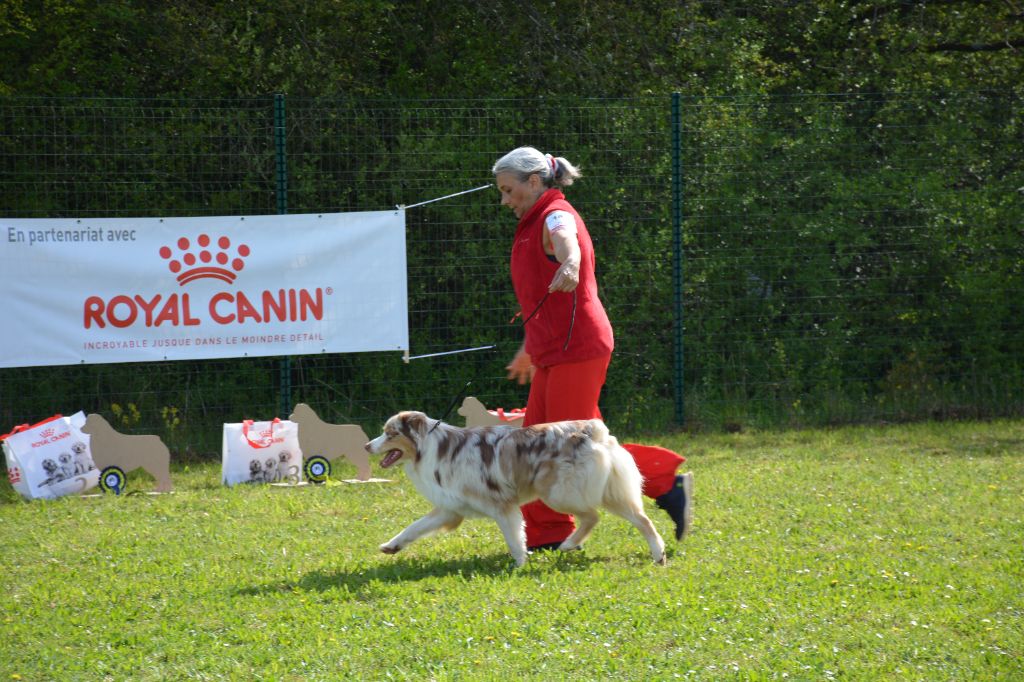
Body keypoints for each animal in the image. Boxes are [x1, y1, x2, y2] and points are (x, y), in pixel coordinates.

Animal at [364, 411, 667, 565]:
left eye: (390, 433)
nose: (366, 446)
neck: (429, 448)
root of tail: (591, 430)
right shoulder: (449, 509)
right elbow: (414, 527)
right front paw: (391, 546)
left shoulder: (502, 506)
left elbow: (514, 539)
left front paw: (519, 565)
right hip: (607, 491)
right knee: (642, 519)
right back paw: (659, 555)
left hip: (556, 492)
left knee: (593, 516)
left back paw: (569, 543)